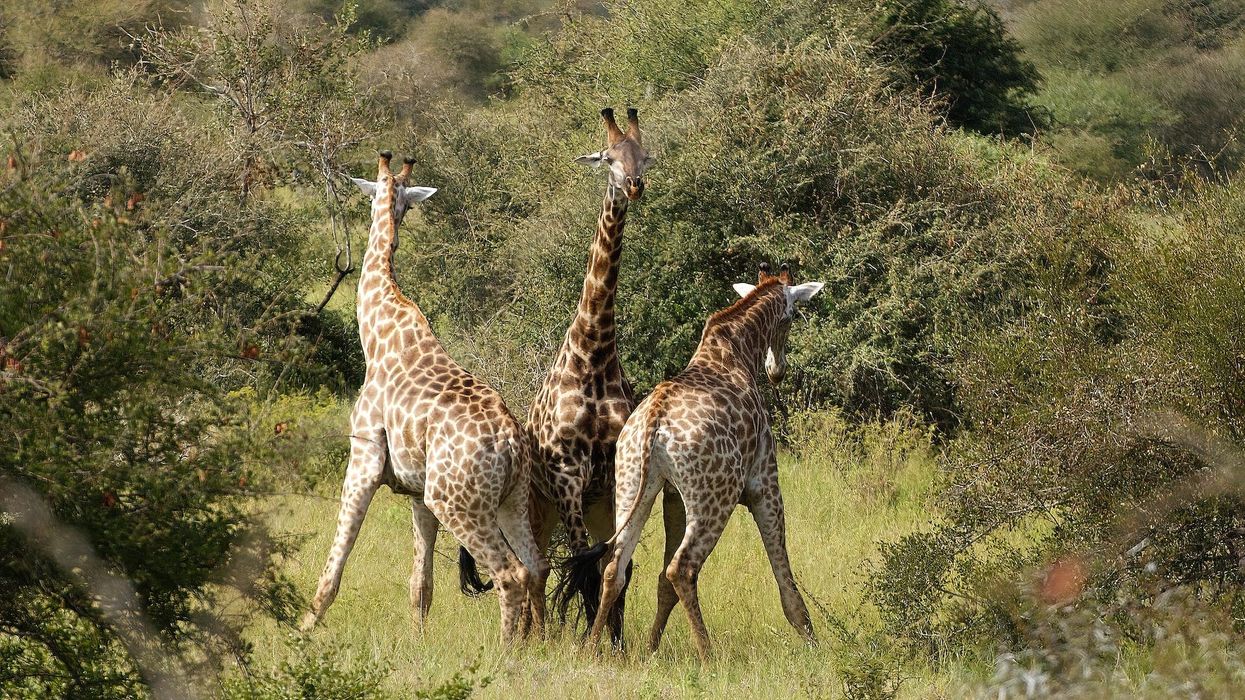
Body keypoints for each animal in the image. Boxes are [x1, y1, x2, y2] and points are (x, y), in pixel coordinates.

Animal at [300, 151, 548, 644]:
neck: (376, 331)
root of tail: (511, 444)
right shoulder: (415, 491)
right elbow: (421, 582)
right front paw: (417, 640)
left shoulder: (364, 459)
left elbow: (335, 564)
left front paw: (304, 627)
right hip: (509, 499)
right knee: (536, 566)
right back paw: (542, 643)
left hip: (456, 500)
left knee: (510, 574)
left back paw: (507, 651)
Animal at [586, 262, 824, 661]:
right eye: (792, 316)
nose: (777, 371)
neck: (737, 351)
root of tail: (654, 420)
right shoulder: (765, 482)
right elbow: (784, 572)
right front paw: (811, 640)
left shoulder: (671, 497)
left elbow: (659, 584)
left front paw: (651, 648)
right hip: (717, 497)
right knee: (681, 568)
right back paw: (708, 656)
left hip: (633, 484)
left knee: (614, 566)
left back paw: (589, 647)